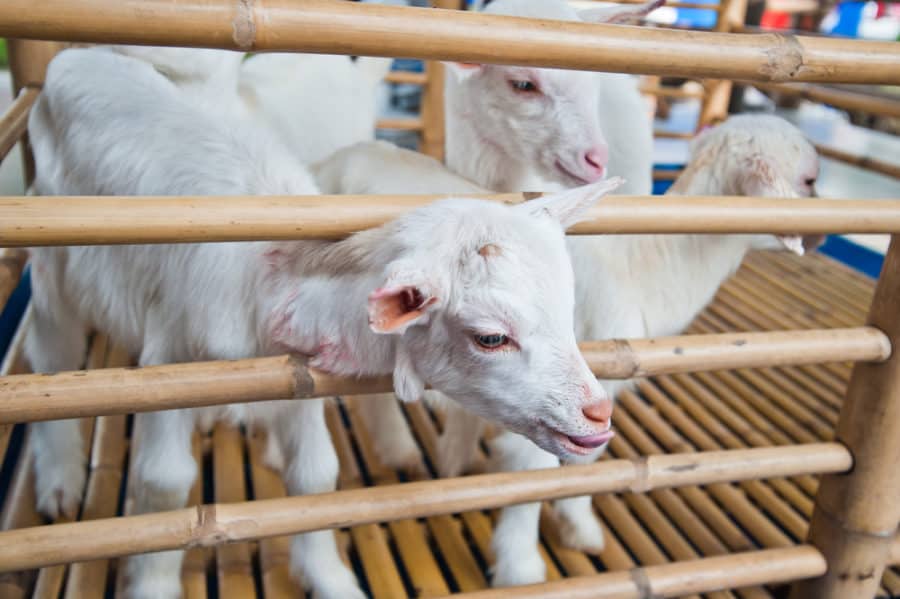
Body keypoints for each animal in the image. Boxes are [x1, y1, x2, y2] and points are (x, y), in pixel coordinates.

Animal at [26, 48, 620, 599]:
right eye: (491, 337)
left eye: (567, 312)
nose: (597, 415)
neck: (268, 273)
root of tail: (76, 55)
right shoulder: (171, 358)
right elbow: (164, 485)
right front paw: (152, 584)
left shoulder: (296, 372)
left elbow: (314, 477)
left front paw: (330, 578)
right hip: (50, 261)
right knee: (51, 351)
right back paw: (58, 483)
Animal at [314, 112, 824, 584]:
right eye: (809, 179)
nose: (820, 235)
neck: (644, 266)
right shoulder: (544, 392)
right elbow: (534, 470)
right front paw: (519, 566)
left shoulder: (583, 390)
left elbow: (587, 458)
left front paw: (577, 526)